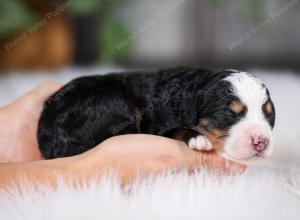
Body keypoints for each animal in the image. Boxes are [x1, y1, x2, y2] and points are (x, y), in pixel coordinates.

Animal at [38, 67, 276, 163]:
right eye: (229, 114)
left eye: (269, 116)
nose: (261, 142)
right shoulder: (157, 125)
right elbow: (176, 130)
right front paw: (197, 138)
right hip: (111, 99)